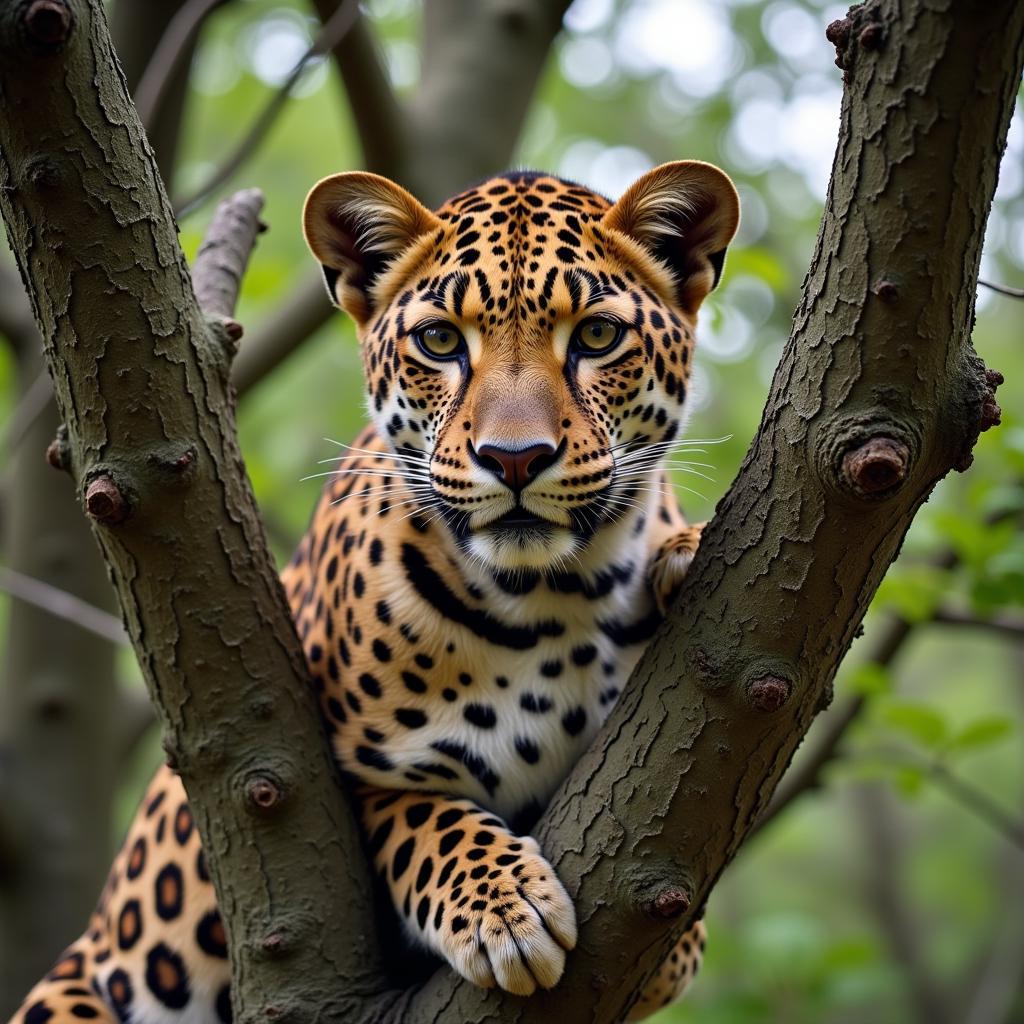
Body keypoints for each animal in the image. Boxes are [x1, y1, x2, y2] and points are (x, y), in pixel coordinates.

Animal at [12, 159, 741, 1024]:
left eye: (597, 337)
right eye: (440, 341)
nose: (516, 458)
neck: (553, 600)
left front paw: (683, 549)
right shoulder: (352, 777)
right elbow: (425, 821)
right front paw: (505, 910)